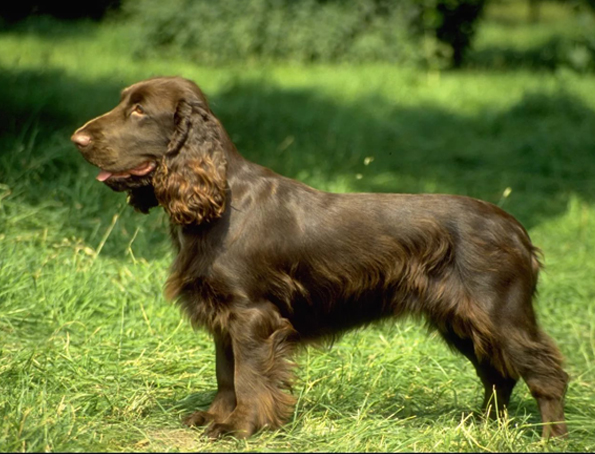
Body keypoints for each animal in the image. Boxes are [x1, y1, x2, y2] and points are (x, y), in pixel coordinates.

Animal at [70, 76, 568, 438]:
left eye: (138, 110)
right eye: (124, 103)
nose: (76, 139)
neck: (221, 201)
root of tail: (518, 231)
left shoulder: (252, 315)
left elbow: (248, 376)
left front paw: (241, 427)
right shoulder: (223, 315)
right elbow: (225, 372)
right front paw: (215, 418)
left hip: (498, 313)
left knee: (545, 373)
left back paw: (550, 438)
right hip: (461, 319)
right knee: (497, 374)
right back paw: (485, 428)